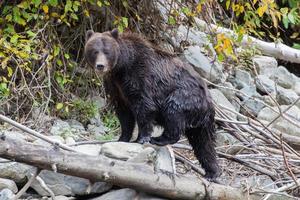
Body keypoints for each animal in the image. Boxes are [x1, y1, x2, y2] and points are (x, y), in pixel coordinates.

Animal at [84, 28, 220, 180]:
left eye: (107, 51)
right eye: (94, 51)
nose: (100, 66)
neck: (122, 67)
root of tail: (209, 99)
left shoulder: (141, 76)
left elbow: (145, 106)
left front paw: (141, 138)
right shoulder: (116, 87)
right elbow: (124, 114)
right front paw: (122, 138)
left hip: (186, 96)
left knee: (173, 111)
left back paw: (160, 138)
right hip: (201, 119)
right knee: (203, 142)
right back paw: (212, 172)